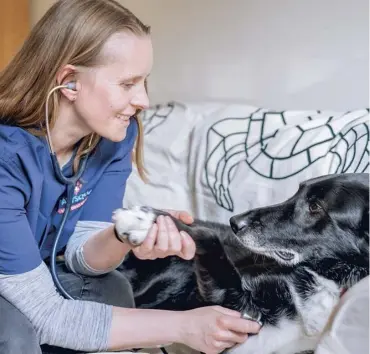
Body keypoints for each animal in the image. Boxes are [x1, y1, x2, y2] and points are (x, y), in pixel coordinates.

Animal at [114, 173, 368, 352]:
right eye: (297, 192)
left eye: (315, 207)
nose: (234, 222)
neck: (328, 280)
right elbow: (208, 236)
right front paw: (148, 222)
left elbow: (210, 239)